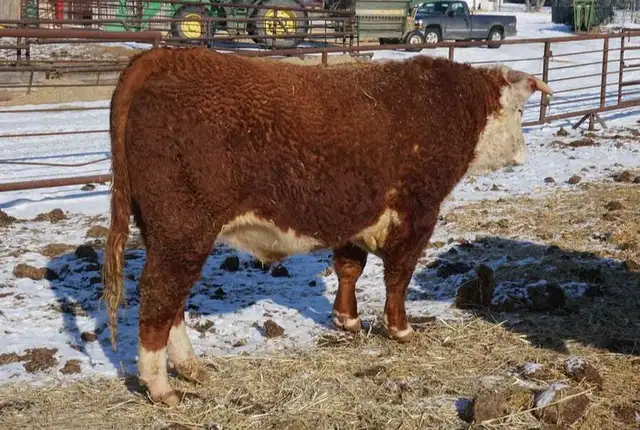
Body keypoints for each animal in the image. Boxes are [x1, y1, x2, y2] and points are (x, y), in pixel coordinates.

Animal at [101, 46, 552, 406]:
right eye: (520, 110)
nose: (522, 155)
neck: (451, 105)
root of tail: (165, 56)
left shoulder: (355, 212)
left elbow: (350, 267)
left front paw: (346, 319)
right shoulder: (418, 210)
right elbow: (398, 276)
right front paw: (400, 329)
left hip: (166, 232)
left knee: (173, 301)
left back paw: (192, 369)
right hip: (184, 228)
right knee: (160, 295)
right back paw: (162, 388)